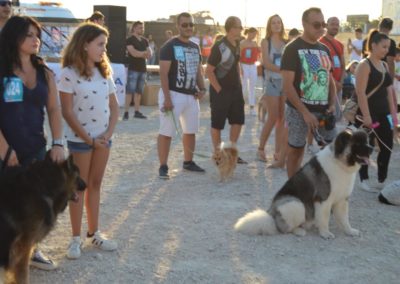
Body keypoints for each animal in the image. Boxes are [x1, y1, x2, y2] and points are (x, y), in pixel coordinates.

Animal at [234, 130, 372, 239]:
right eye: (358, 143)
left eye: (366, 141)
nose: (371, 148)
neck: (339, 163)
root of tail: (271, 215)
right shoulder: (323, 200)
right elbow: (325, 218)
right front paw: (325, 233)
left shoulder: (342, 200)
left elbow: (344, 218)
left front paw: (350, 231)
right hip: (296, 204)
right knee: (285, 228)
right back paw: (299, 231)